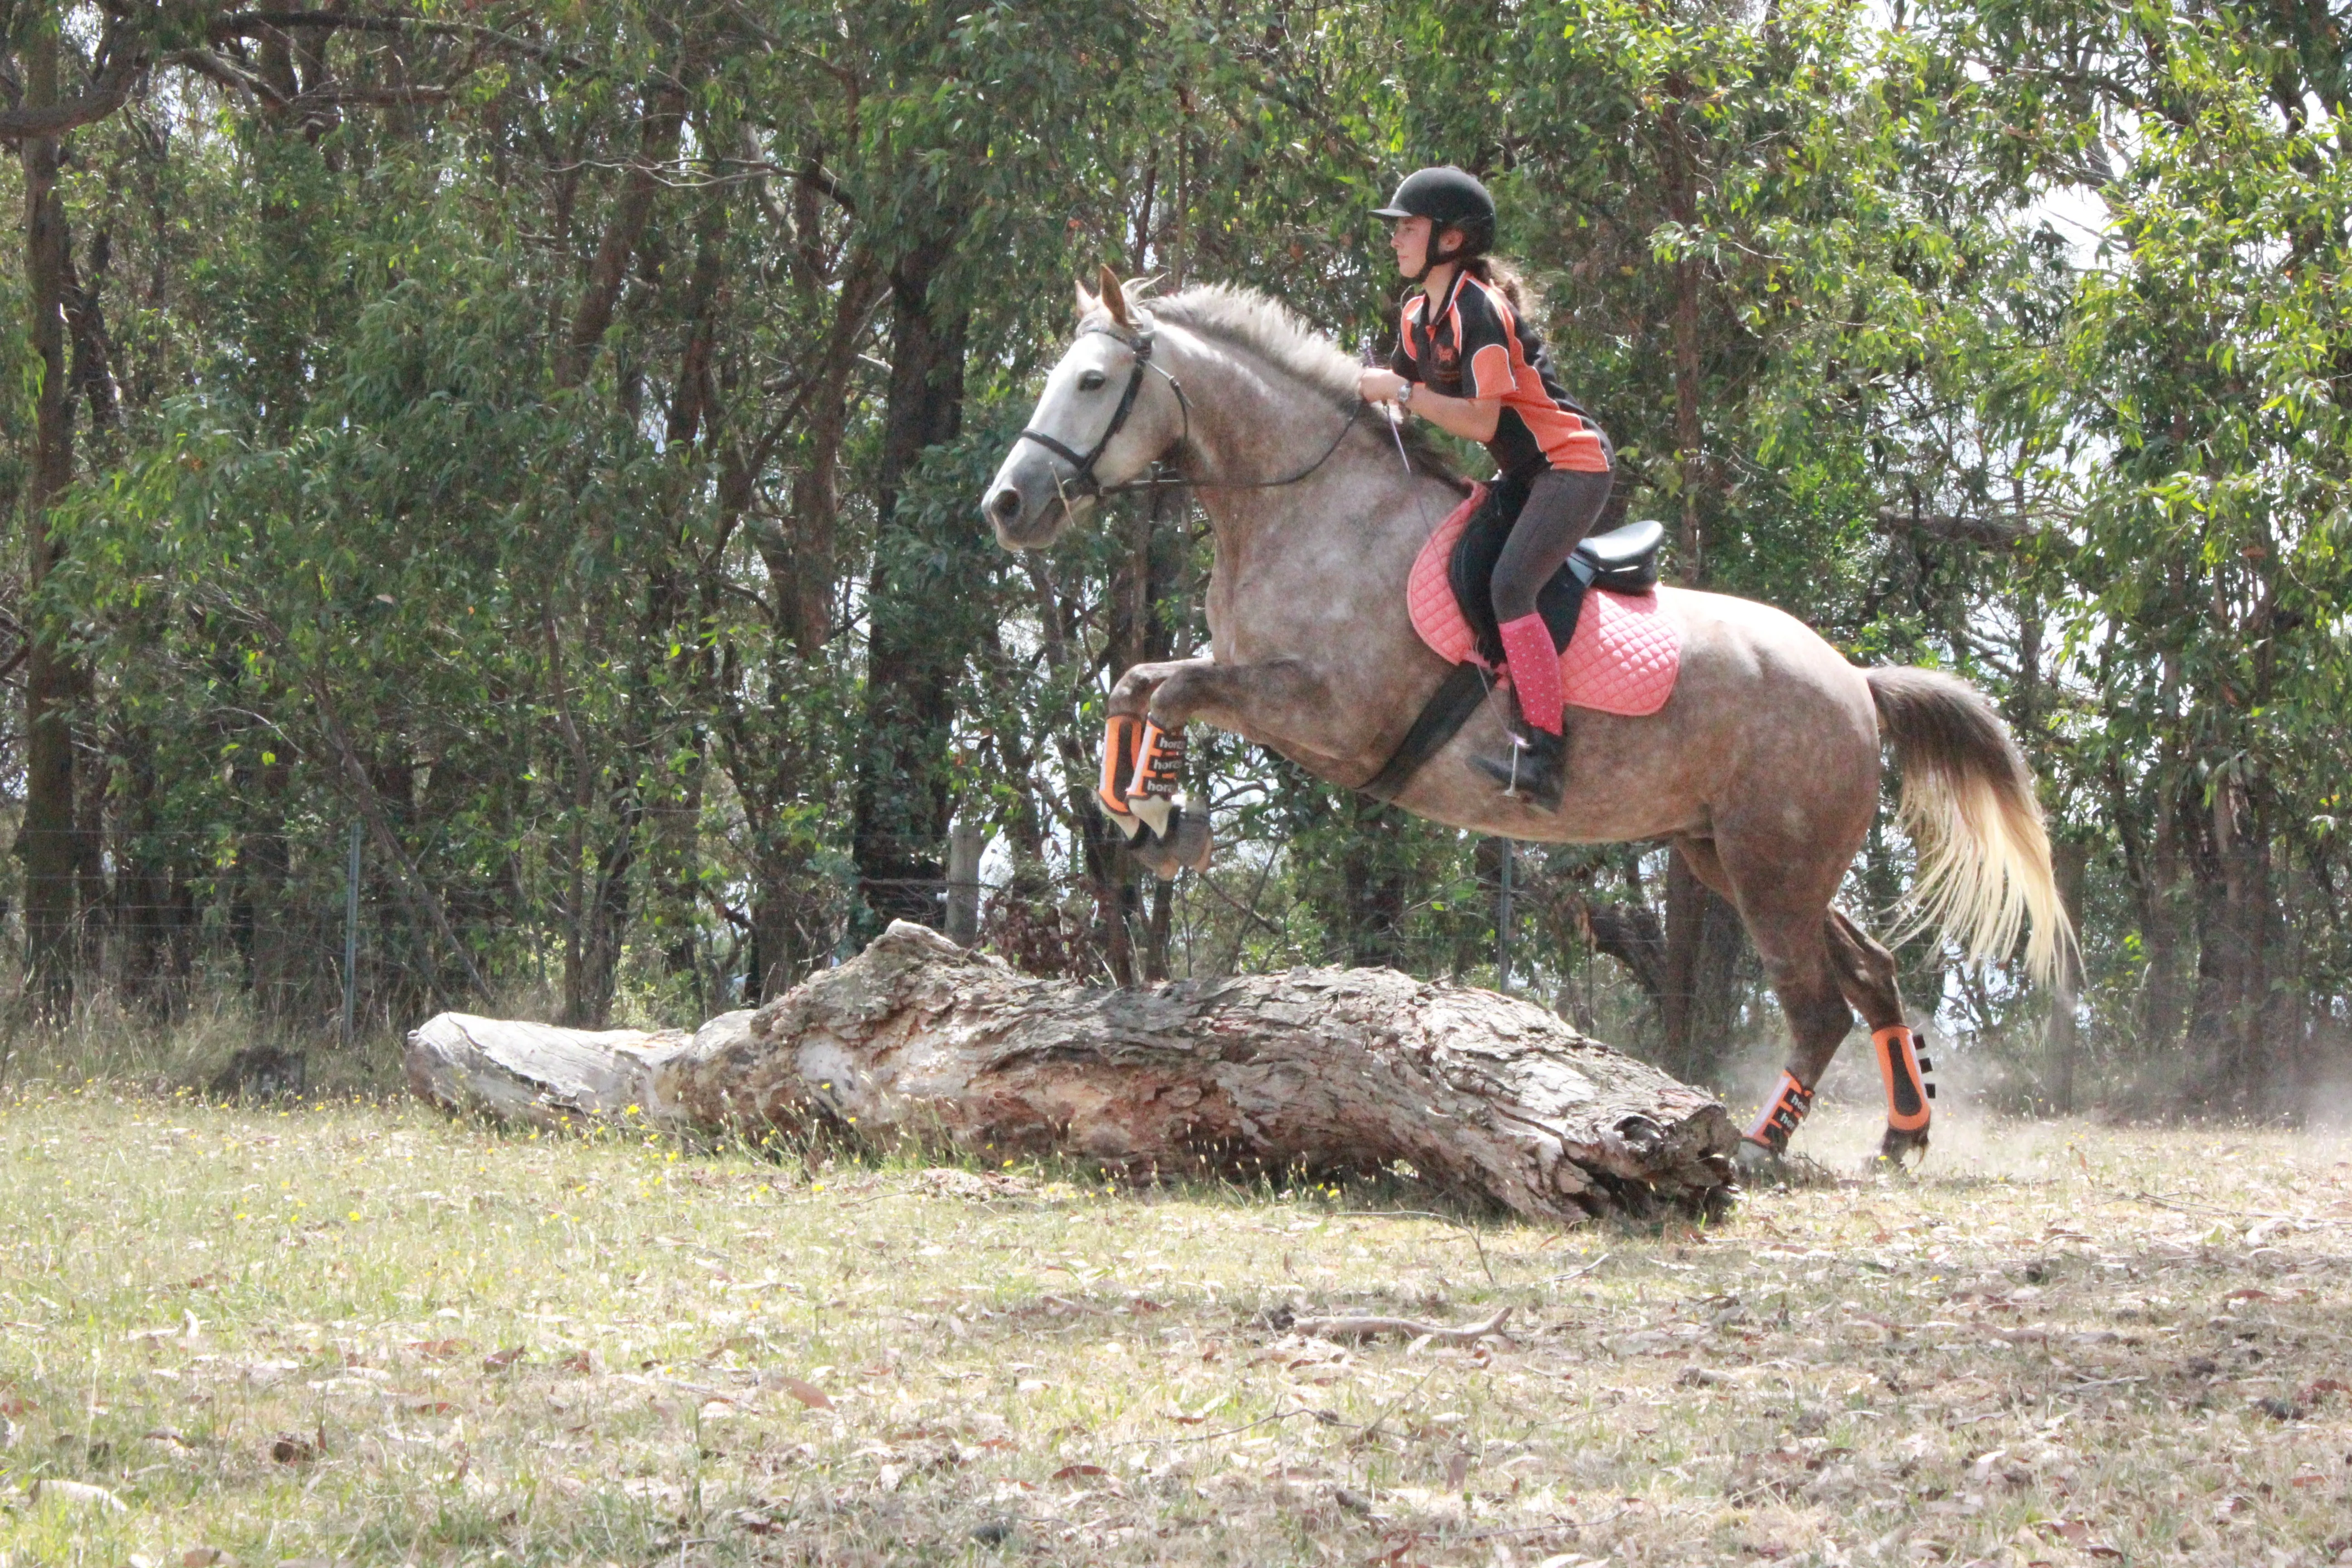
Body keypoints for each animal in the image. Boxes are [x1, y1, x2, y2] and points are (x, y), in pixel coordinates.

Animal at [974, 270, 2060, 1171]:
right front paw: (1144, 814)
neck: (1305, 509)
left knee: (1817, 1004)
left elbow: (1170, 691)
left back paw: (1761, 1147)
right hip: (1737, 858)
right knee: (1870, 972)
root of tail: (1855, 683)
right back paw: (1901, 1135)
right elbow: (1138, 684)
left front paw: (1161, 819)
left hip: (1770, 871)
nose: (1007, 506)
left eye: (1092, 381)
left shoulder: (1328, 712)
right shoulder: (1255, 680)